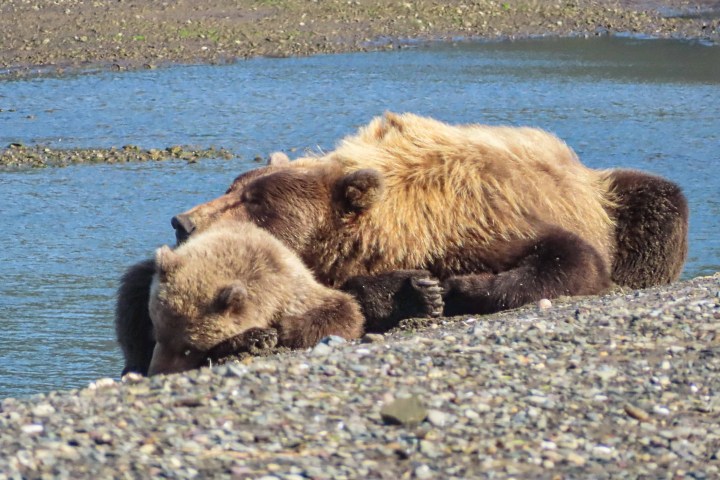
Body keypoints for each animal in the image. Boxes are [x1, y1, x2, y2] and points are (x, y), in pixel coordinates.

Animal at [146, 220, 364, 376]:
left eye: (188, 349)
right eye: (157, 334)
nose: (156, 371)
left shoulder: (292, 288)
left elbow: (344, 310)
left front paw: (280, 330)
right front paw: (259, 337)